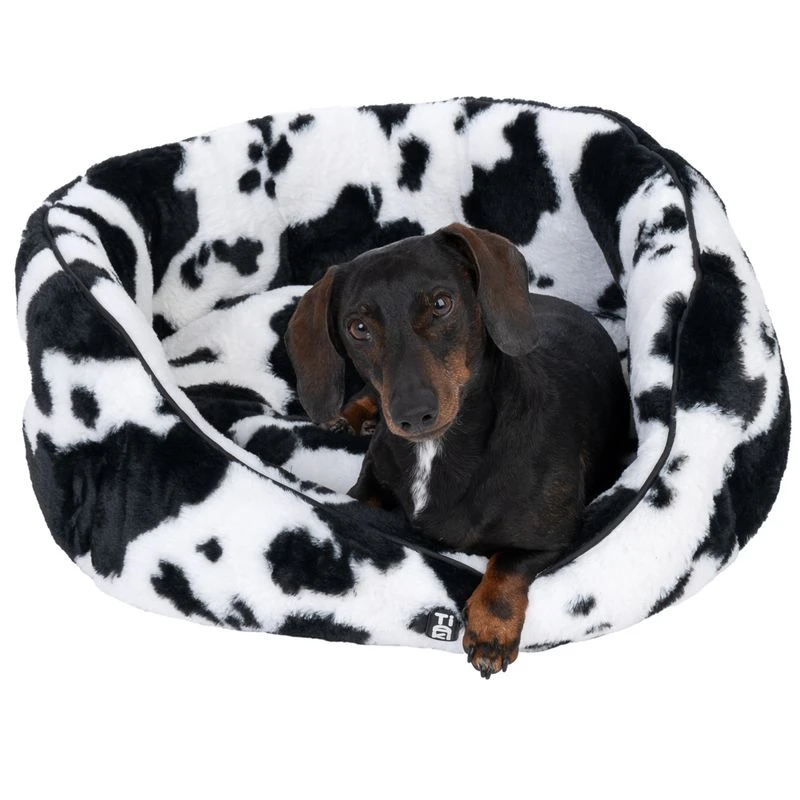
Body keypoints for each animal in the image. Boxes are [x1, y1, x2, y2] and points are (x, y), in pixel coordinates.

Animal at [285, 223, 631, 677]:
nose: (413, 414)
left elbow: (506, 564)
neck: (439, 449)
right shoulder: (368, 487)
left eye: (441, 304)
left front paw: (490, 631)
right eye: (358, 327)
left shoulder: (555, 538)